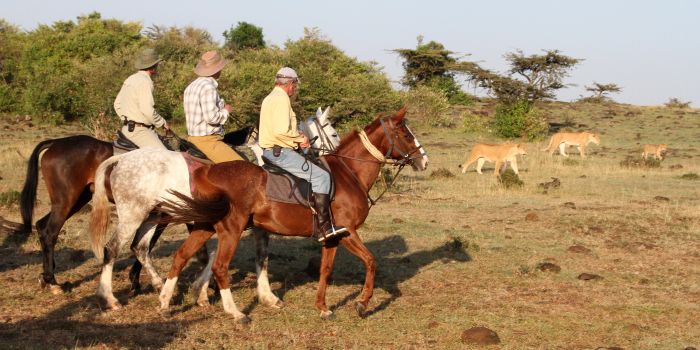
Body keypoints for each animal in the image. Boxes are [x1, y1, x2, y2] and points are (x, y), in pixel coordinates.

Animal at [157, 107, 430, 322]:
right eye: (406, 135)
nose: (424, 161)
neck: (349, 173)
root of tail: (207, 172)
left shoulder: (331, 236)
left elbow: (325, 269)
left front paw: (322, 307)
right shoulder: (348, 232)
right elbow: (371, 261)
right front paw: (362, 303)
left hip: (206, 226)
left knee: (181, 256)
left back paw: (164, 302)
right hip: (231, 229)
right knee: (220, 266)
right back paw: (236, 313)